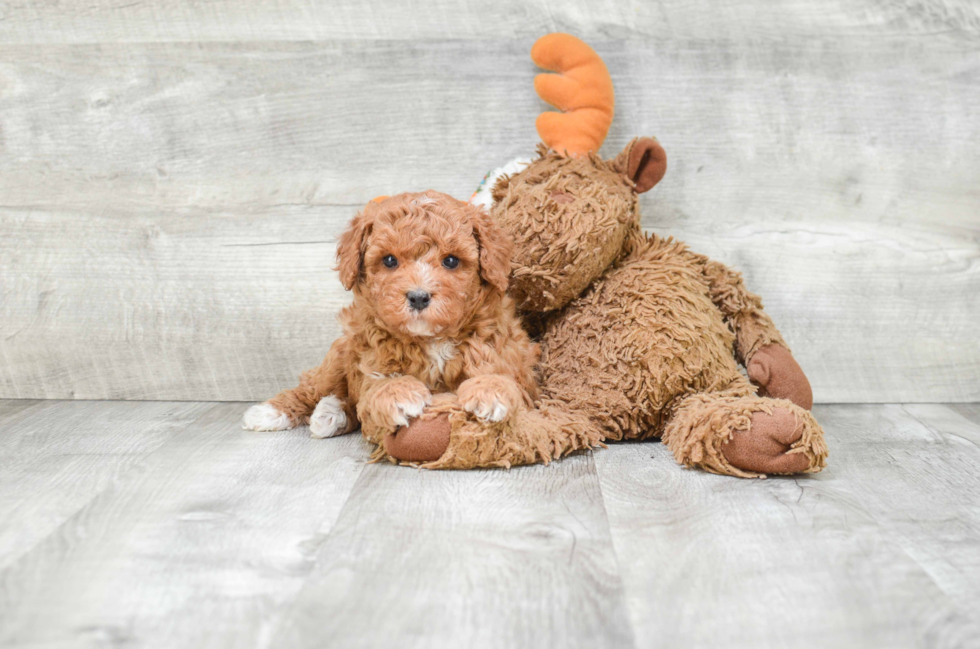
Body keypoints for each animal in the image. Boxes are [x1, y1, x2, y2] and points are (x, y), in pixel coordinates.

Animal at [242, 190, 540, 448]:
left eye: (451, 261)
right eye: (389, 260)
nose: (418, 297)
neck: (431, 339)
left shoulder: (509, 358)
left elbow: (503, 376)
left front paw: (490, 391)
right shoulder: (370, 357)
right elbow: (378, 385)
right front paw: (399, 394)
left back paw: (330, 414)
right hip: (339, 355)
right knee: (314, 387)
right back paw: (271, 412)